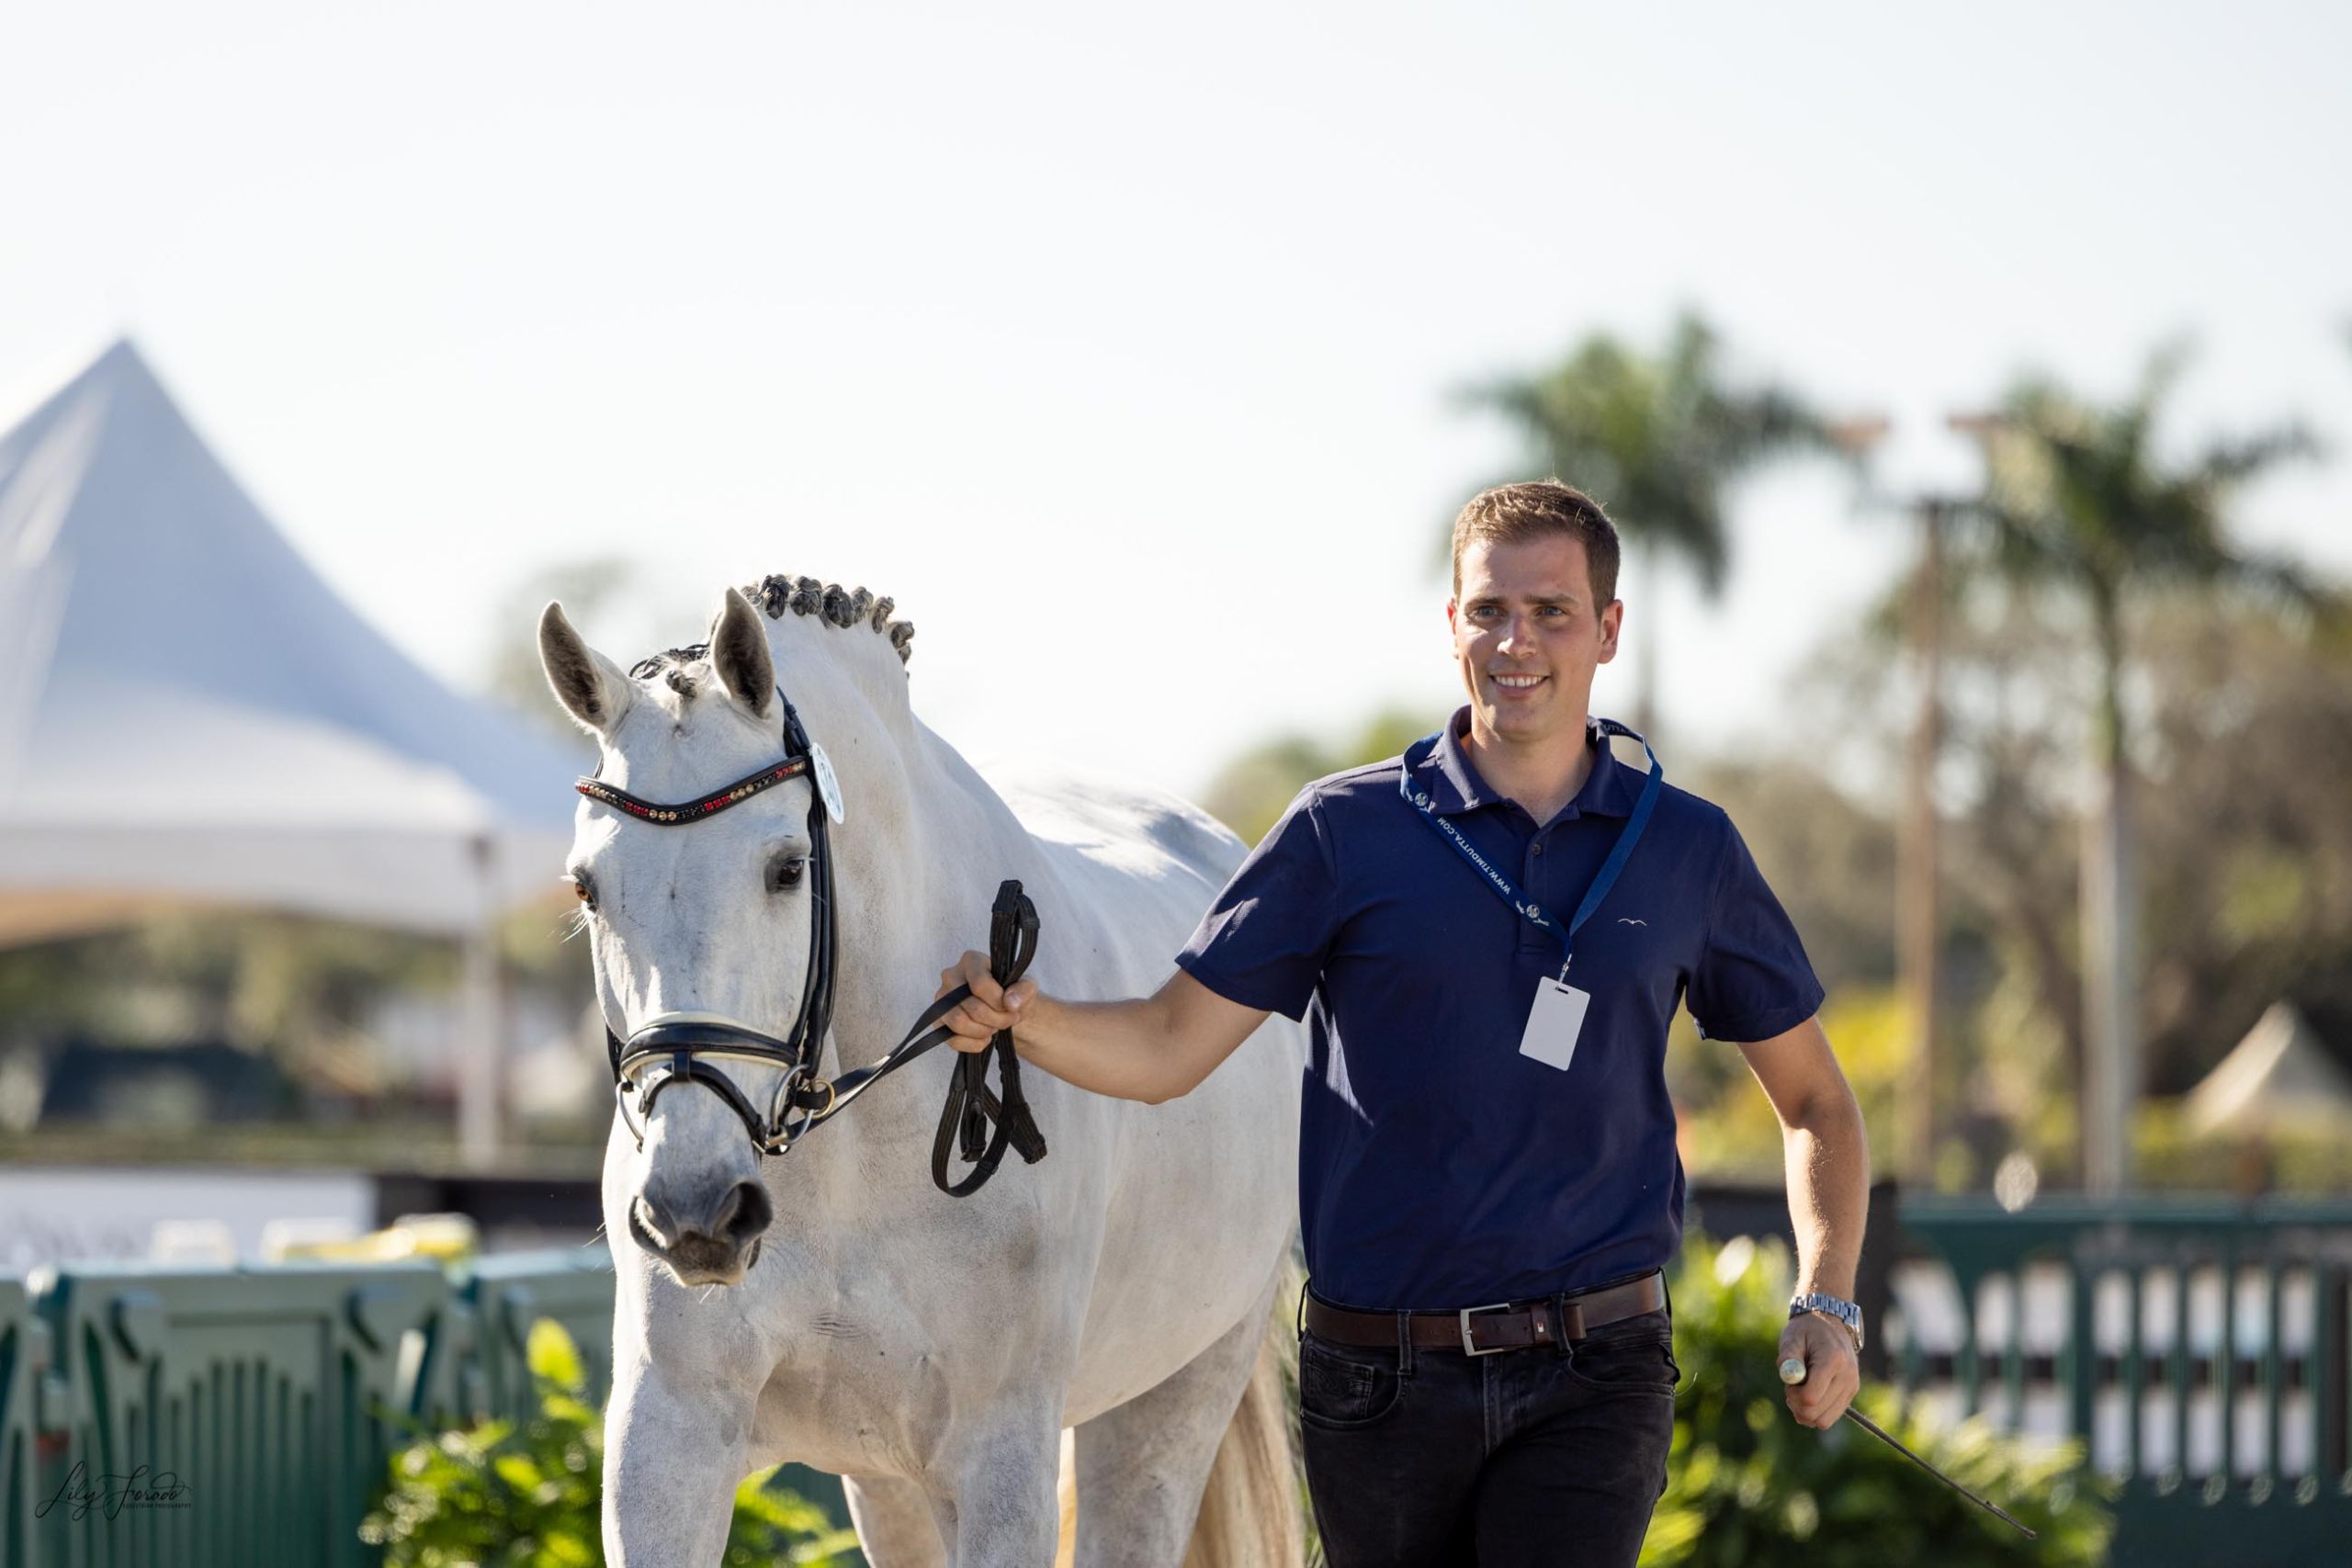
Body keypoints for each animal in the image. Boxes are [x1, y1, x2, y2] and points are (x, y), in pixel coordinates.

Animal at [536, 576, 1307, 1568]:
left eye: (787, 868)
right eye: (587, 888)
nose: (694, 1210)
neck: (857, 1155)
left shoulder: (998, 1464)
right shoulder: (668, 1442)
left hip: (1174, 1398)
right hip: (890, 1482)